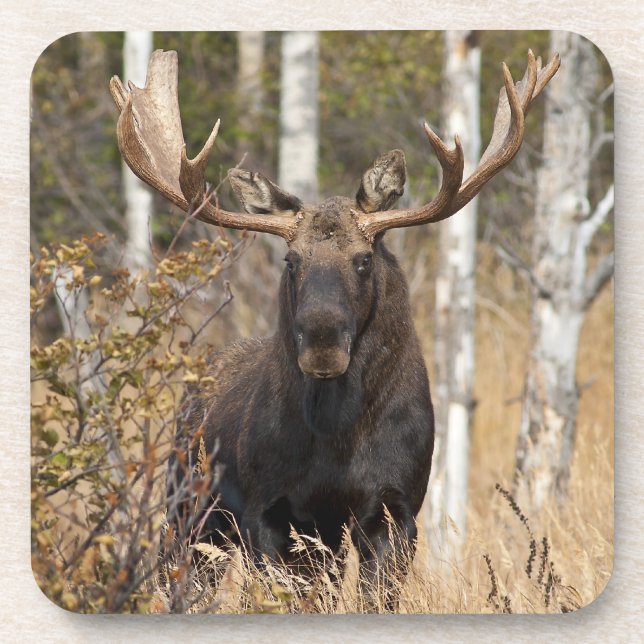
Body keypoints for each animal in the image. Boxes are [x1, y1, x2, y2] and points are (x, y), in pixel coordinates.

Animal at [110, 48, 559, 611]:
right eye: (291, 260)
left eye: (364, 259)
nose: (322, 345)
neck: (337, 442)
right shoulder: (271, 512)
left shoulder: (396, 508)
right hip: (188, 512)